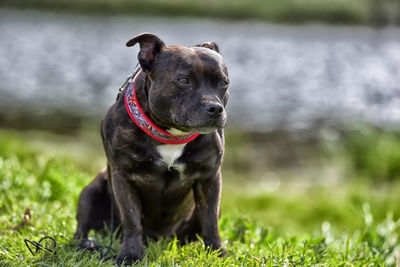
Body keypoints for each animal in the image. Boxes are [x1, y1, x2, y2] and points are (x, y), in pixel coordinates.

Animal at [74, 32, 230, 264]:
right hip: (91, 191)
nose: (215, 108)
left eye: (223, 83)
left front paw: (218, 254)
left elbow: (210, 221)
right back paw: (83, 245)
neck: (171, 135)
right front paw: (130, 255)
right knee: (82, 227)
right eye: (183, 80)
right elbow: (132, 220)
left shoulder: (209, 178)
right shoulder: (123, 178)